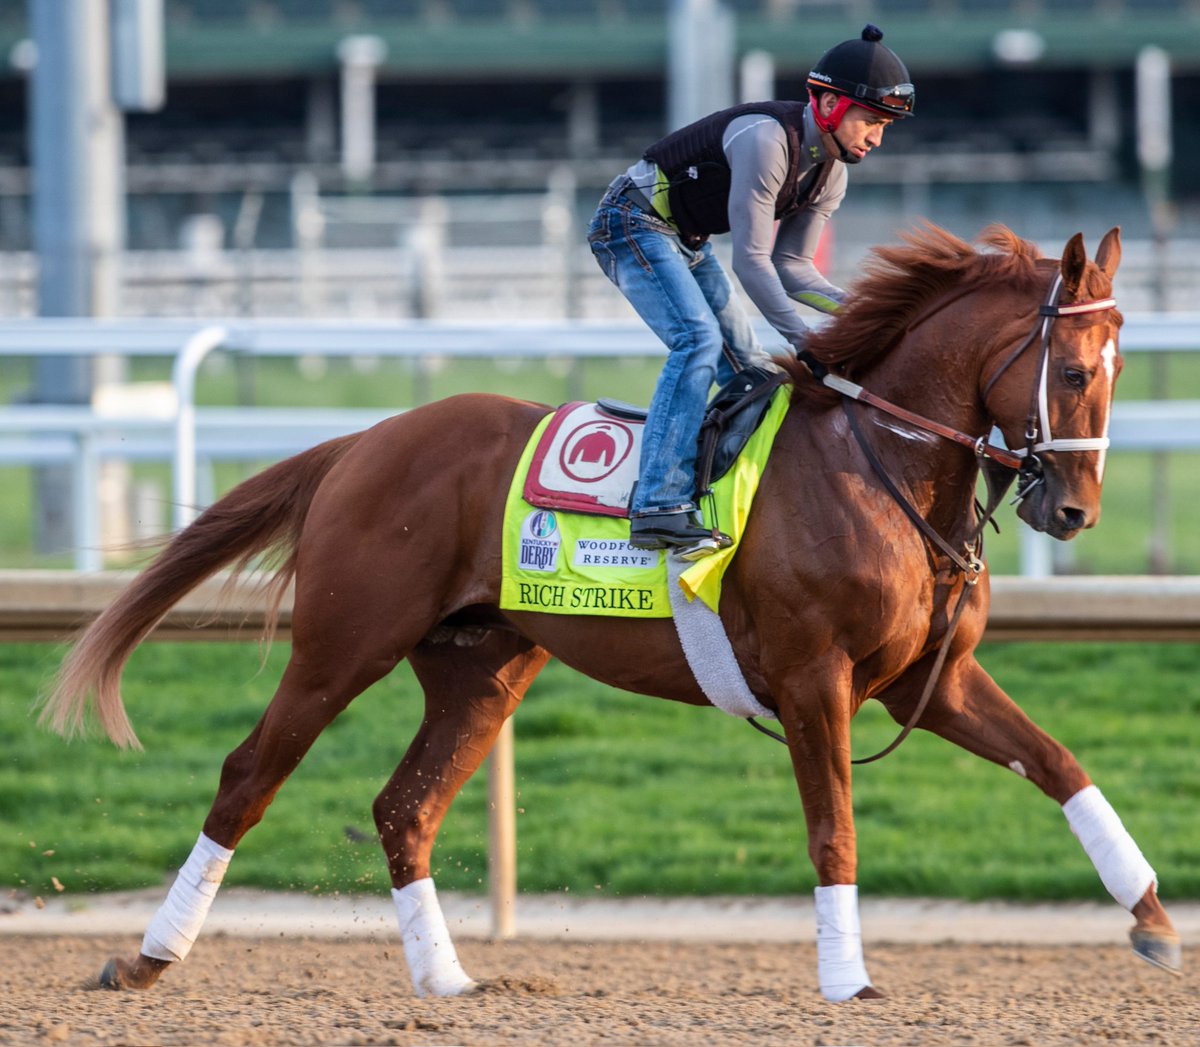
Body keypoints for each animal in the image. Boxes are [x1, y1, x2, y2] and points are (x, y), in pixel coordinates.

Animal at [39, 222, 1181, 1002]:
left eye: (1122, 371)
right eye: (1073, 368)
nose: (1073, 511)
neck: (880, 468)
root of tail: (364, 441)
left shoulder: (925, 681)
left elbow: (1061, 764)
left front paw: (1156, 919)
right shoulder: (816, 679)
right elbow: (835, 832)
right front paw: (848, 979)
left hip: (482, 667)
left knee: (405, 806)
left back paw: (445, 980)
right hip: (342, 643)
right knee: (249, 777)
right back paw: (148, 956)